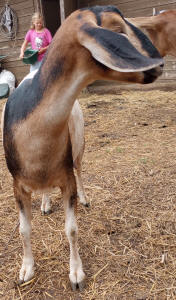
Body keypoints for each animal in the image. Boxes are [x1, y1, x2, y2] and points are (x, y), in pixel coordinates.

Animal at [2, 5, 164, 290]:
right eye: (118, 30)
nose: (161, 65)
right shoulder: (17, 184)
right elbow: (24, 229)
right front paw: (26, 270)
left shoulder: (66, 179)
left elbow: (72, 229)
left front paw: (76, 274)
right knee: (44, 190)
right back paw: (45, 203)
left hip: (79, 148)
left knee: (79, 169)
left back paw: (84, 198)